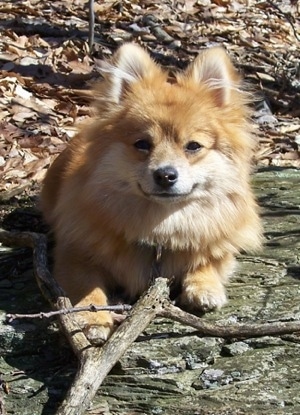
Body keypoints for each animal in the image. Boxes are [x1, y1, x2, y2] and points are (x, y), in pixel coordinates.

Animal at [40, 43, 262, 344]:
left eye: (193, 146)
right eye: (142, 144)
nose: (165, 175)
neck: (159, 226)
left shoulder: (218, 242)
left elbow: (210, 258)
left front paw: (204, 287)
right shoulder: (74, 255)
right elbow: (88, 288)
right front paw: (92, 319)